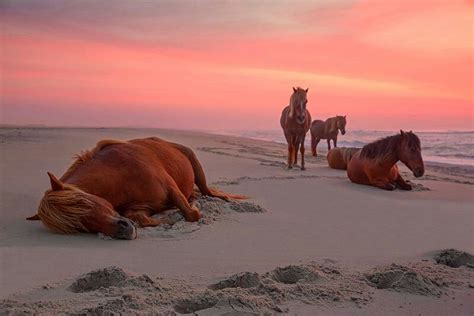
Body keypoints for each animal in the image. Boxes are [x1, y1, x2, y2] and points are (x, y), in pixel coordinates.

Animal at [26, 137, 244, 238]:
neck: (119, 176)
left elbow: (191, 215)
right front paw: (166, 219)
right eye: (77, 227)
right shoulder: (138, 208)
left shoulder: (171, 189)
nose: (122, 231)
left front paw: (194, 209)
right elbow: (141, 219)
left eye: (85, 202)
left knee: (206, 191)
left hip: (195, 167)